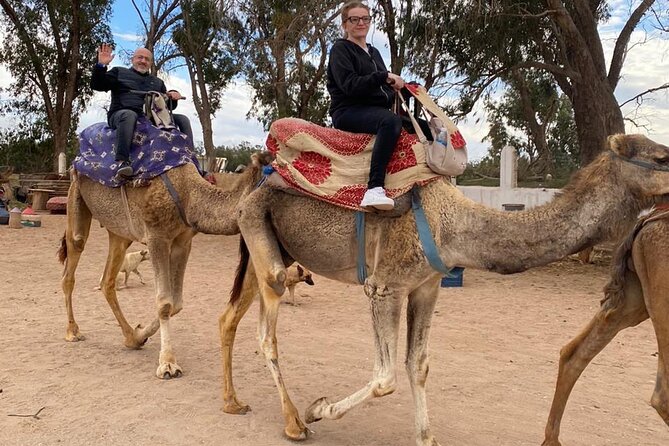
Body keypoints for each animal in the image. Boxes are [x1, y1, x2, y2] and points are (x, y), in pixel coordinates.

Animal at [58, 153, 272, 379]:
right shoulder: (156, 237)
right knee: (73, 259)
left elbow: (176, 303)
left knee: (107, 280)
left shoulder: (183, 242)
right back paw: (73, 331)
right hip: (75, 196)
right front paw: (168, 364)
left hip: (119, 232)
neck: (188, 194)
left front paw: (140, 335)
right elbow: (164, 302)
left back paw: (130, 337)